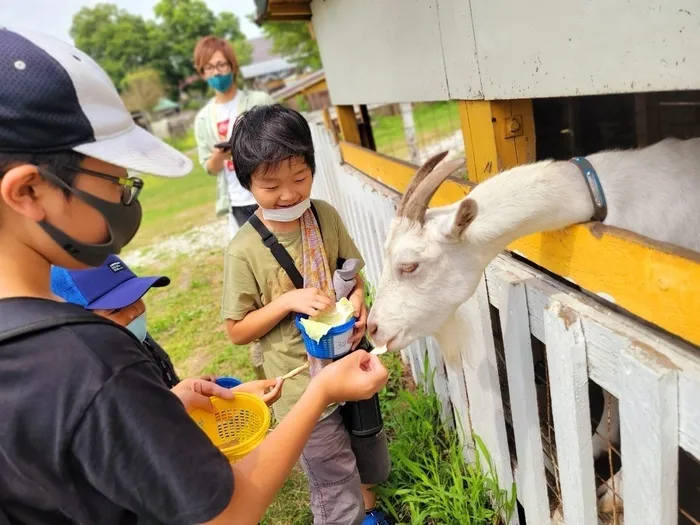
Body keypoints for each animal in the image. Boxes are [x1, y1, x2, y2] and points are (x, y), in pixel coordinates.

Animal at [366, 136, 700, 516]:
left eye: (409, 266)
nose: (373, 328)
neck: (604, 191)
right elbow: (609, 390)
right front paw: (597, 443)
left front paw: (615, 491)